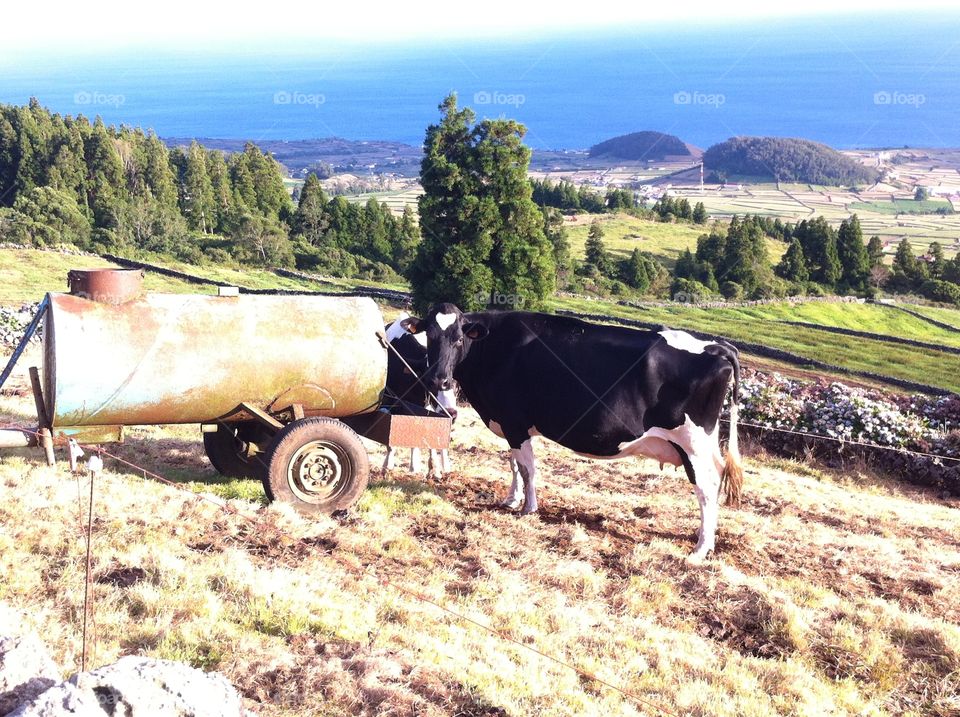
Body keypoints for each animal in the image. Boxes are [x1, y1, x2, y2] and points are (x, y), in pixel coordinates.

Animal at [382, 314, 458, 477]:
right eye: (431, 383)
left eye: (456, 383)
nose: (452, 413)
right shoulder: (390, 402)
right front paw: (387, 466)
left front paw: (434, 470)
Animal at [400, 303, 743, 561]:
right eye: (430, 337)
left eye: (459, 339)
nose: (439, 379)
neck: (493, 347)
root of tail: (715, 346)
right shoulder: (510, 424)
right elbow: (513, 464)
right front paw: (511, 500)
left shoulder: (514, 421)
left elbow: (528, 467)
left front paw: (528, 508)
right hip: (703, 443)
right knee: (716, 477)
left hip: (692, 442)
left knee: (706, 487)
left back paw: (701, 548)